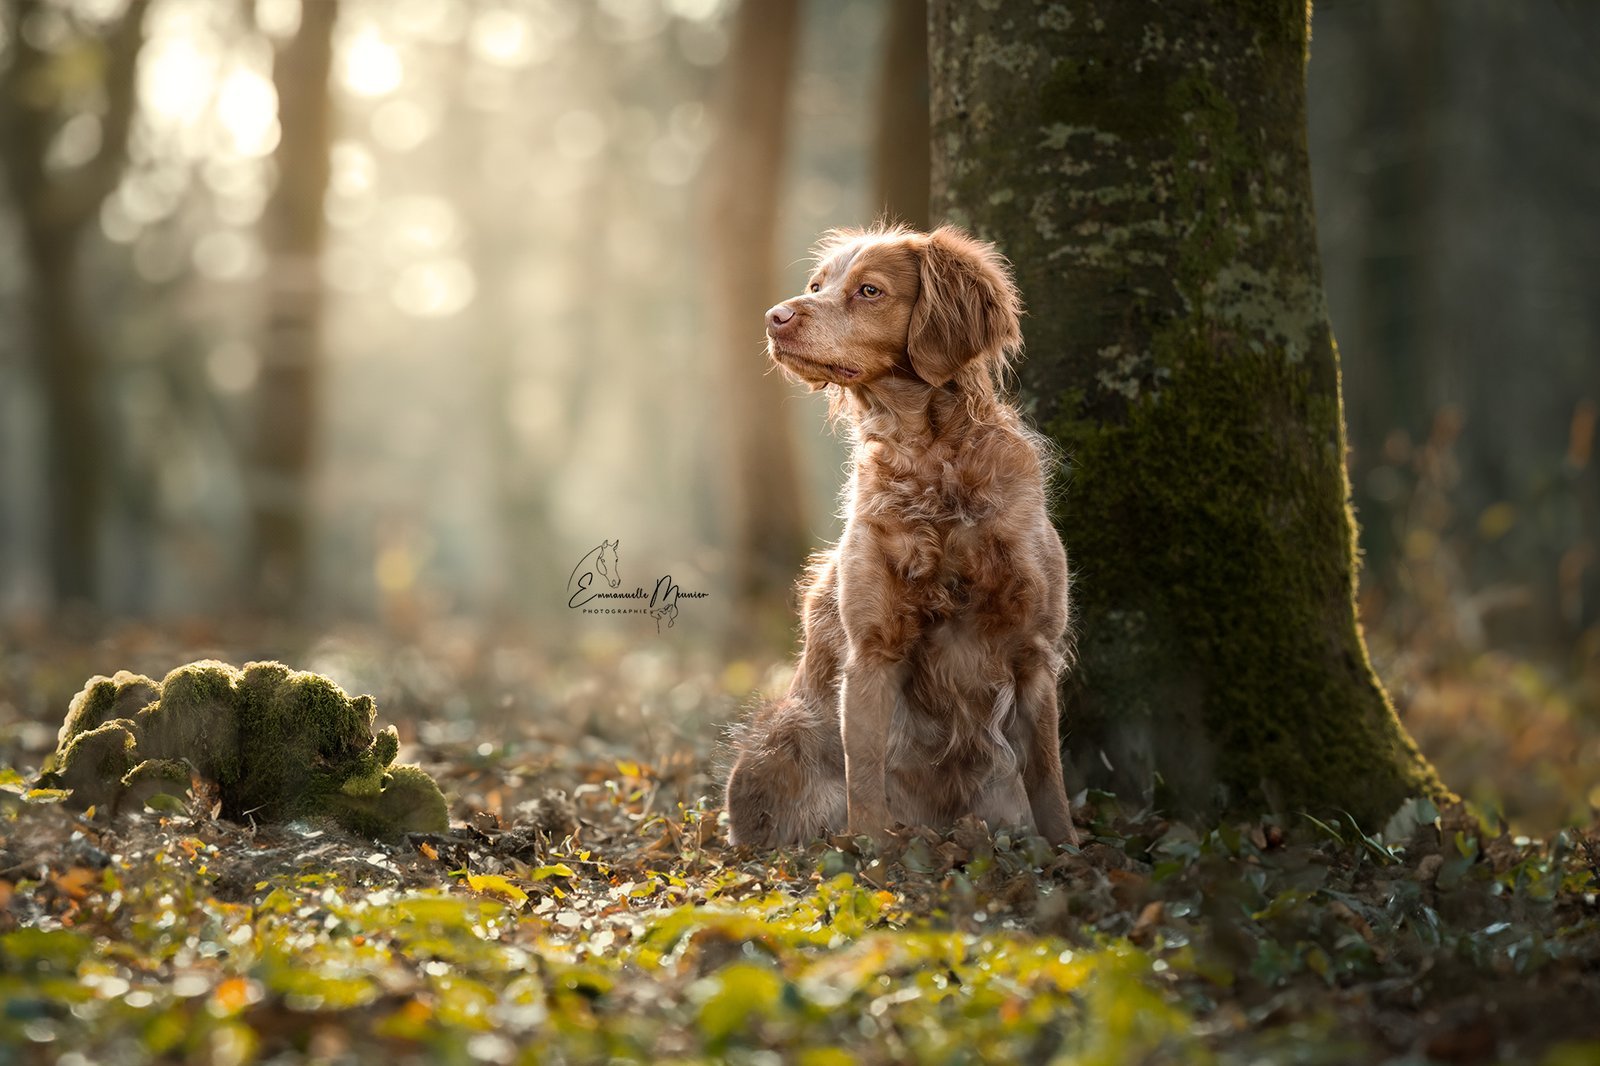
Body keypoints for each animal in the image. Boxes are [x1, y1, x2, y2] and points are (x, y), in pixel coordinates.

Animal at [729, 224, 1081, 845]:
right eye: (816, 285)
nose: (775, 317)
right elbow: (866, 783)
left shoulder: (1035, 650)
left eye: (869, 290)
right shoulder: (873, 649)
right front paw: (871, 858)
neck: (931, 464)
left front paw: (1068, 852)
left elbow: (1048, 778)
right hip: (783, 725)